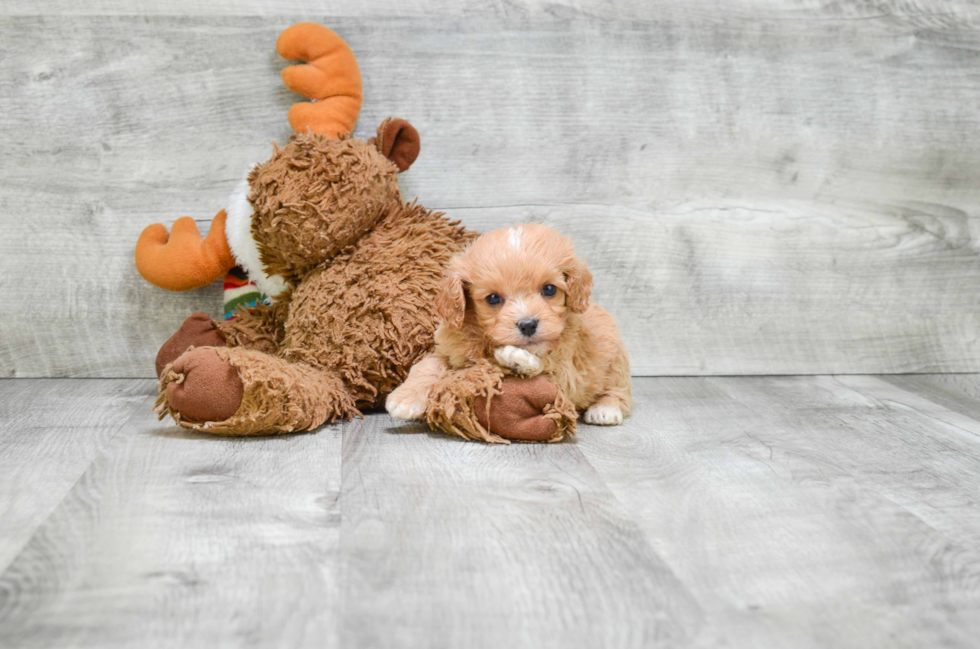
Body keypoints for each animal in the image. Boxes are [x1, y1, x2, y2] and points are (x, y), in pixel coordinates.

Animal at [386, 223, 632, 430]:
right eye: (493, 298)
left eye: (549, 289)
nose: (528, 324)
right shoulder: (448, 349)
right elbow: (428, 365)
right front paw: (405, 398)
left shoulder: (569, 370)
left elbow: (546, 366)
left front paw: (517, 359)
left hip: (617, 361)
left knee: (619, 391)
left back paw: (605, 409)